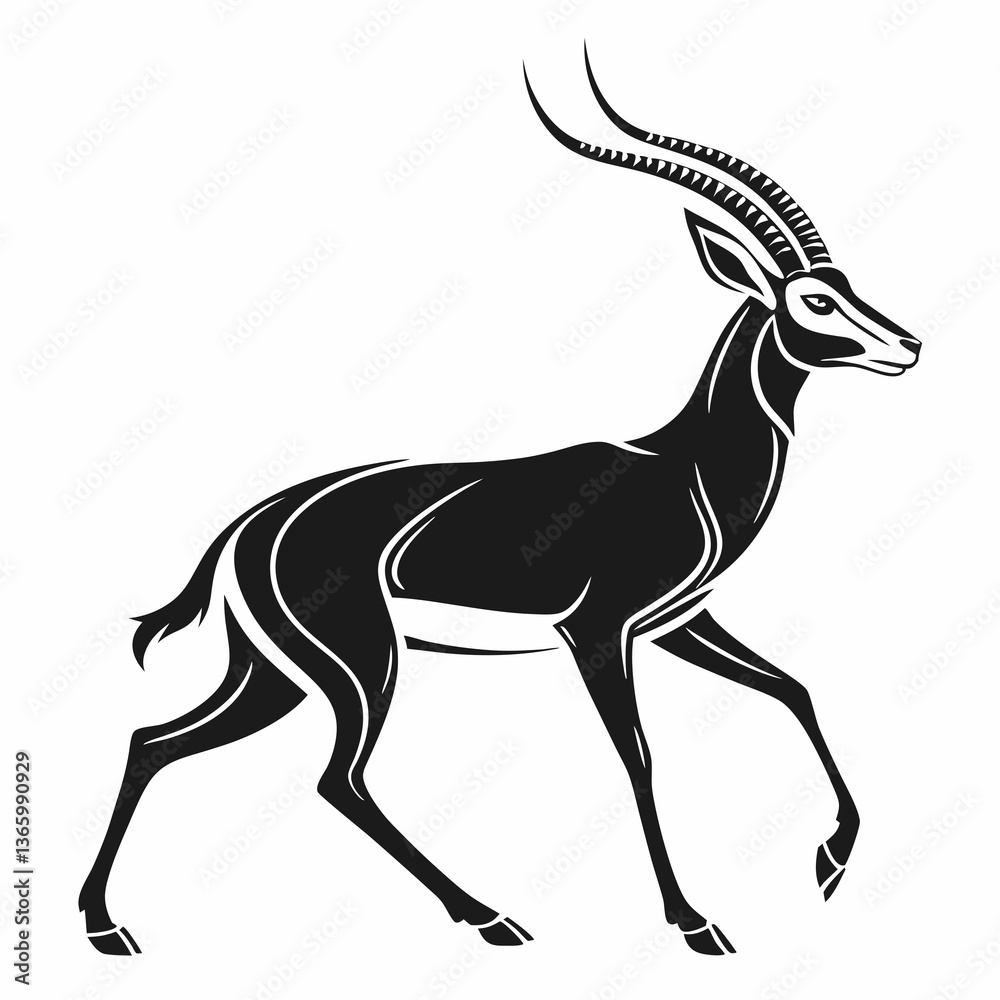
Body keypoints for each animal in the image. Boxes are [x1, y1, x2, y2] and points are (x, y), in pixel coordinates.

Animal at [80, 49, 921, 958]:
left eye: (845, 285)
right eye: (815, 300)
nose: (908, 345)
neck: (687, 467)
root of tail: (244, 531)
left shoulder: (679, 625)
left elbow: (794, 688)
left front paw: (831, 862)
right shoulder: (599, 633)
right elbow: (639, 757)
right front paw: (696, 923)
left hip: (274, 676)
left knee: (155, 742)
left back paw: (105, 926)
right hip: (362, 665)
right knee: (339, 779)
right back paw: (491, 917)